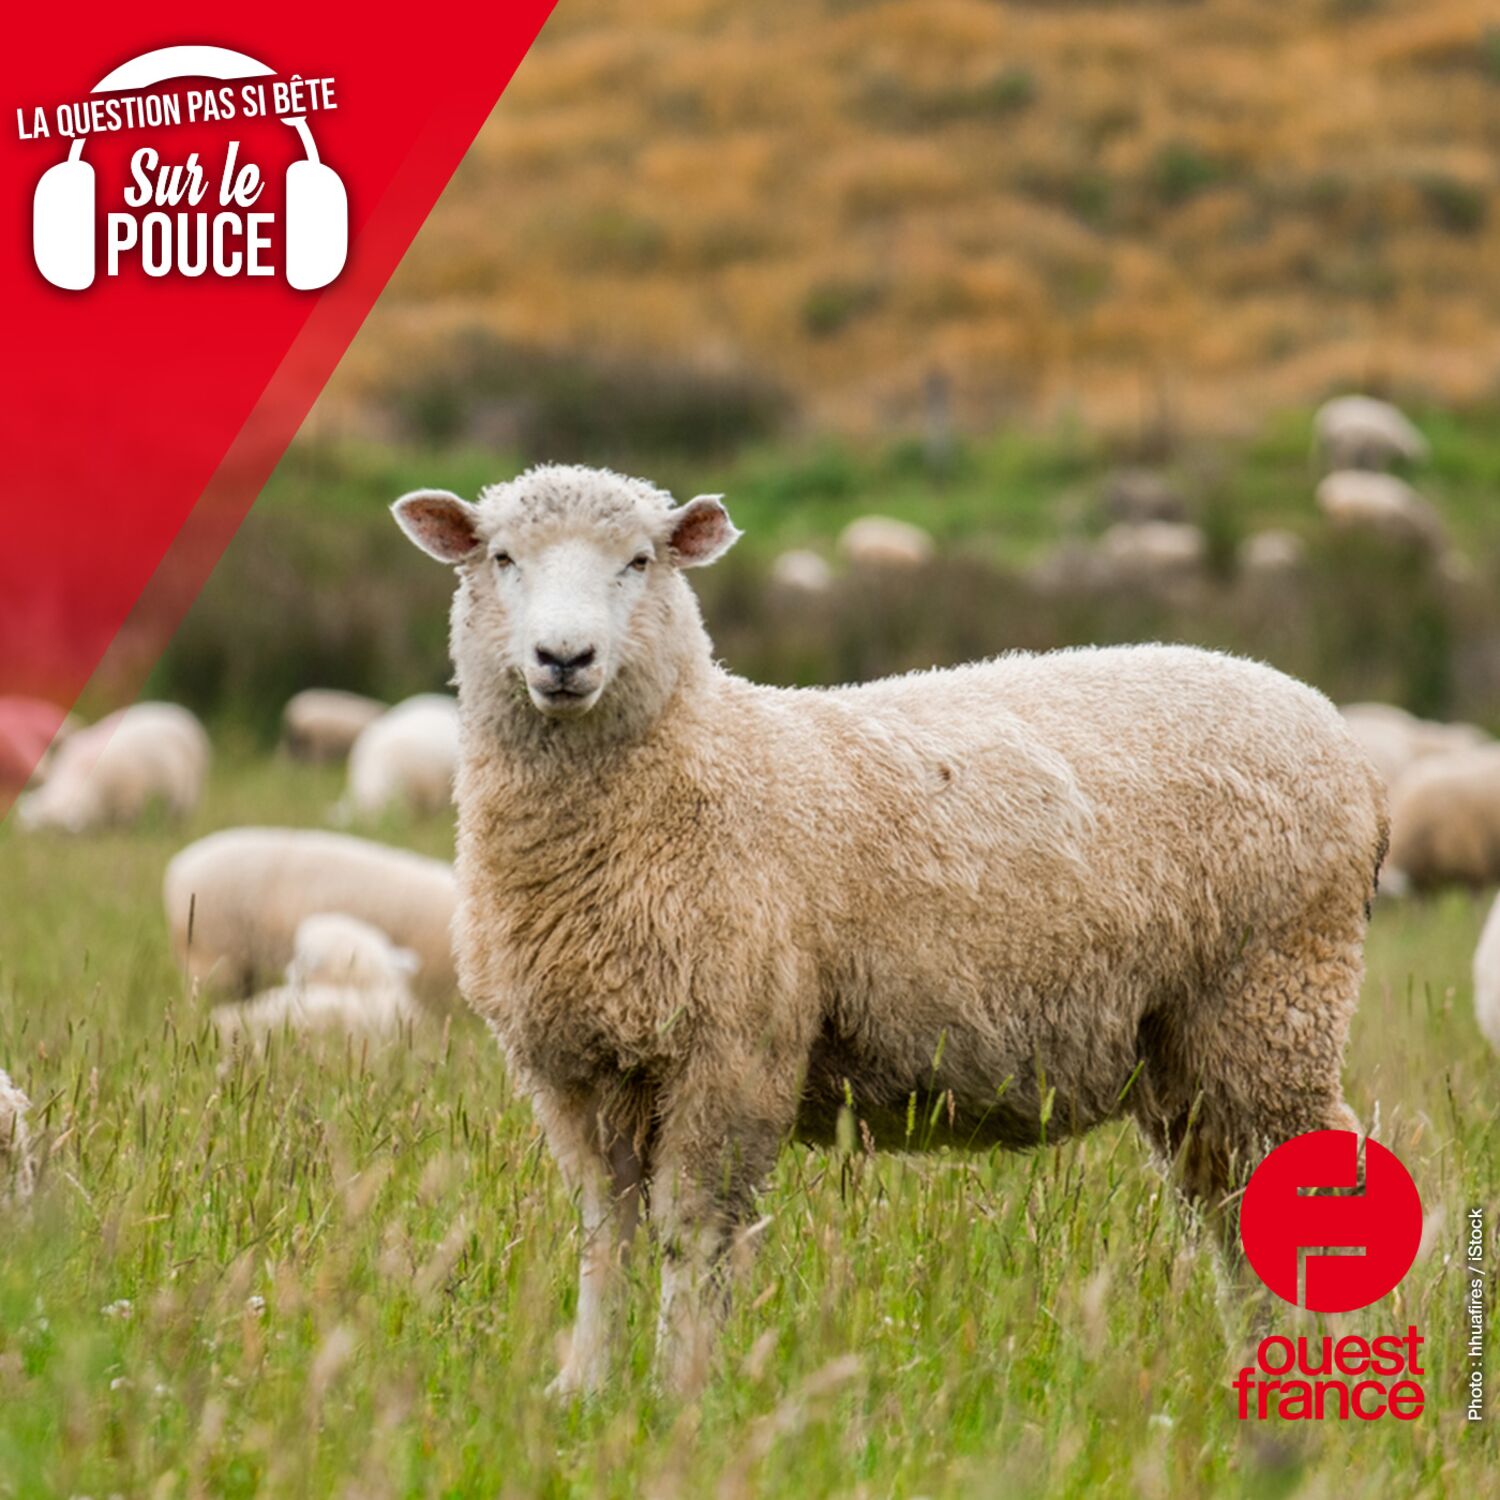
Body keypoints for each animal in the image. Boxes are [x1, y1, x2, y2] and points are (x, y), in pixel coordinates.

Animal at [16, 702, 209, 833]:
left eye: (58, 836)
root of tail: (180, 712)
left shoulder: (129, 795)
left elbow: (125, 822)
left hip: (188, 789)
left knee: (178, 812)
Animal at [392, 463, 1386, 1399]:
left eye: (640, 561)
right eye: (502, 557)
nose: (564, 657)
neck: (693, 762)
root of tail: (1340, 737)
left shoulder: (732, 1050)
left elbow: (694, 1235)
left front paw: (683, 1392)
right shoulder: (571, 1063)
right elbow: (608, 1235)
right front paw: (586, 1388)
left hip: (1272, 1001)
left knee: (1312, 1188)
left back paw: (1332, 1378)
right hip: (1190, 1047)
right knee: (1231, 1207)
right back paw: (1259, 1361)